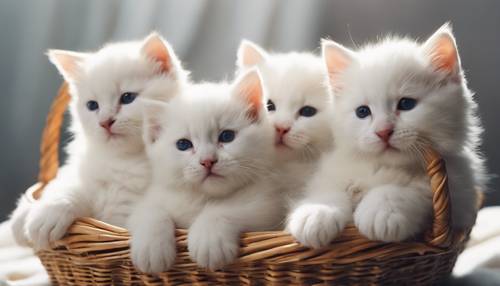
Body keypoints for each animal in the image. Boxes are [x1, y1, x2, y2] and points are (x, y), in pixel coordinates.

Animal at [11, 32, 188, 249]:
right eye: (92, 105)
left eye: (127, 97)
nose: (105, 122)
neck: (123, 160)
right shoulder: (80, 172)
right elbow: (68, 187)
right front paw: (34, 214)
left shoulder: (123, 214)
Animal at [128, 68, 286, 272]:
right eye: (183, 144)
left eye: (227, 136)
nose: (208, 161)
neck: (203, 199)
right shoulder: (151, 199)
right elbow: (150, 212)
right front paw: (150, 248)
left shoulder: (266, 205)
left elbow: (226, 209)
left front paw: (209, 241)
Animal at [288, 23, 486, 247]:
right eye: (362, 112)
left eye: (406, 104)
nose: (383, 131)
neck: (382, 167)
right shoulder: (331, 173)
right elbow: (327, 191)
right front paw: (315, 213)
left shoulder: (457, 191)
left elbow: (404, 190)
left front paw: (381, 212)